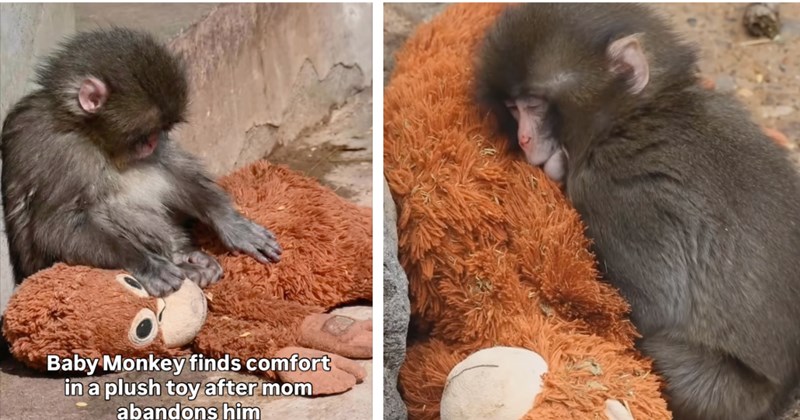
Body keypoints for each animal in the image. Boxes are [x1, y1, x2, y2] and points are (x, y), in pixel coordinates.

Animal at [1, 28, 282, 297]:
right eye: (144, 134)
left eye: (161, 131)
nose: (153, 143)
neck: (88, 133)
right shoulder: (62, 152)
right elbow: (55, 226)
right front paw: (147, 264)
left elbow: (173, 169)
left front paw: (232, 223)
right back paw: (183, 263)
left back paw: (187, 254)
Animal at [476, 4, 800, 420]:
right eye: (514, 109)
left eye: (534, 104)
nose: (524, 138)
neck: (634, 116)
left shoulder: (617, 195)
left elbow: (649, 311)